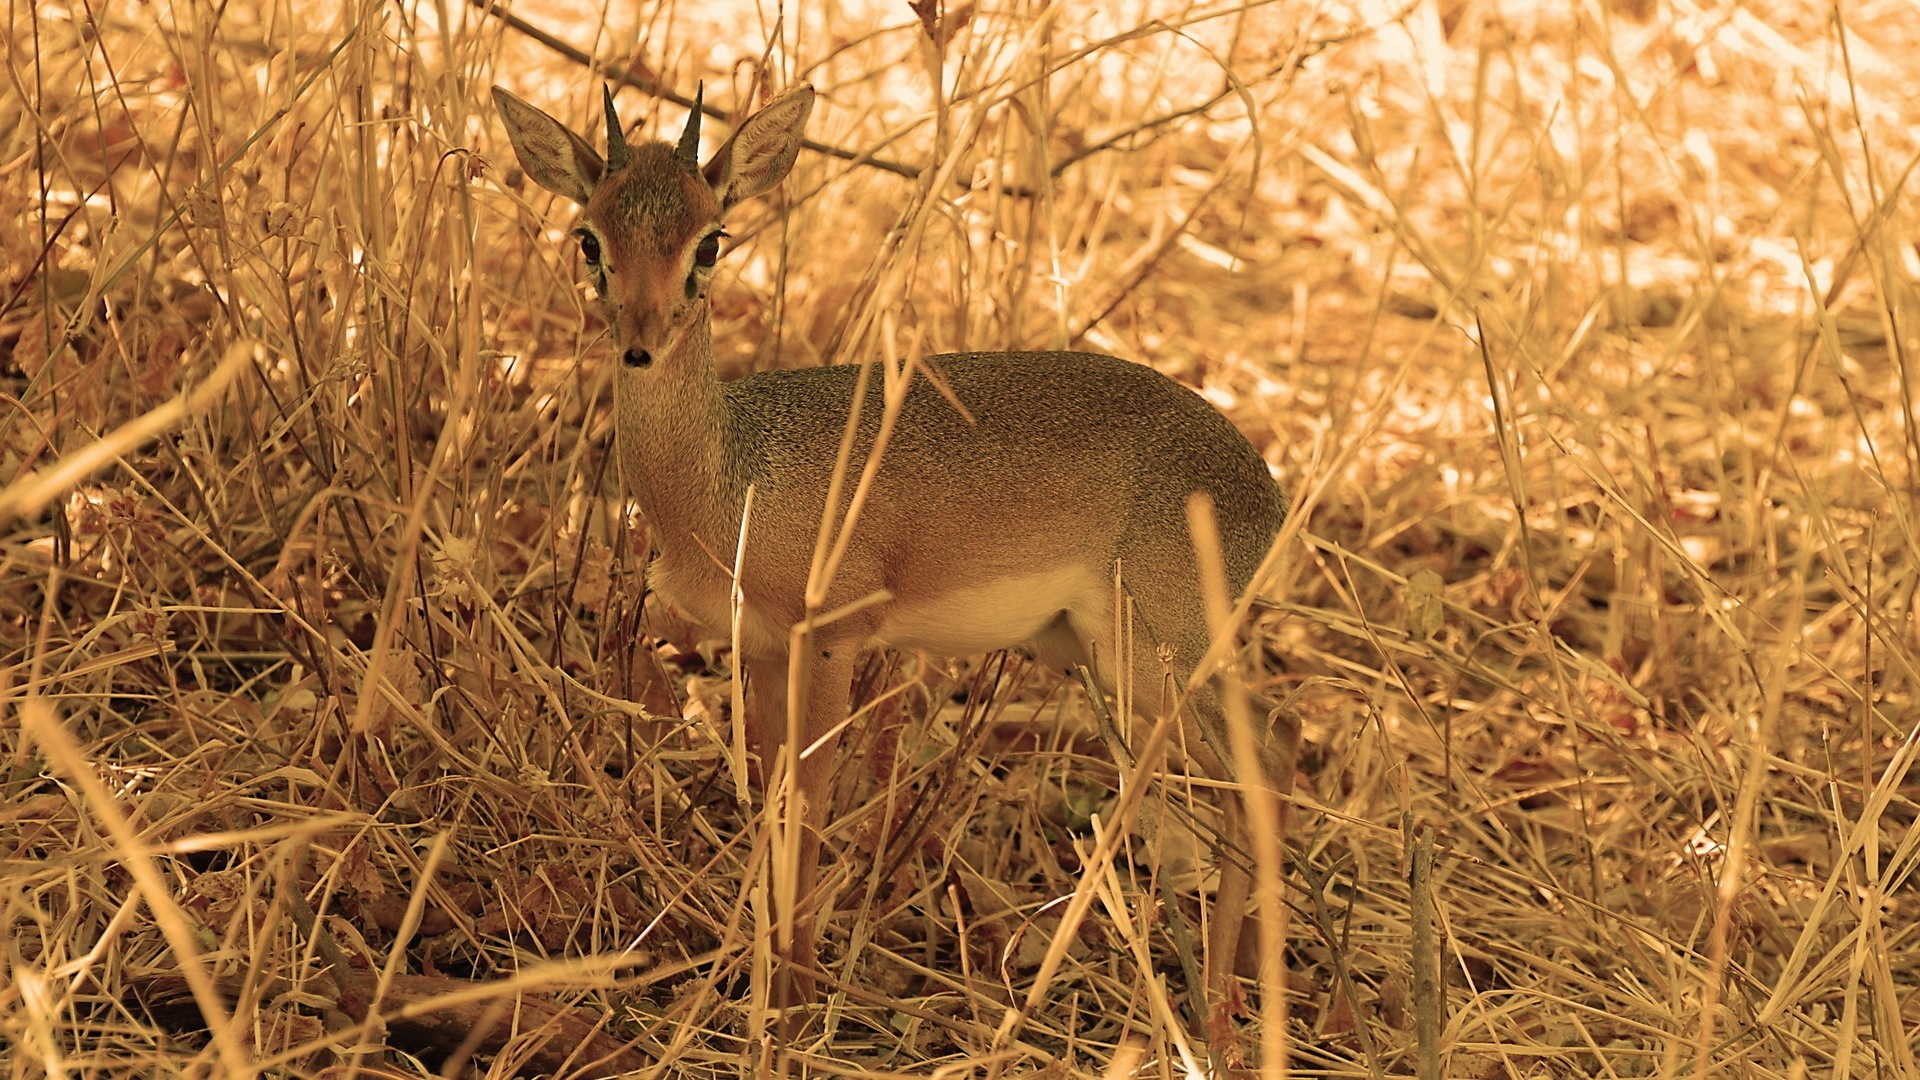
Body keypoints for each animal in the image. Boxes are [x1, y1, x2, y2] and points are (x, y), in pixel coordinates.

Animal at [495, 84, 1297, 1014]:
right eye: (590, 236)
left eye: (711, 239)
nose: (639, 343)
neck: (732, 477)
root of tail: (1266, 488)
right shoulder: (761, 650)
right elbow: (772, 794)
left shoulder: (832, 638)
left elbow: (808, 803)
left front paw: (796, 995)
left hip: (1153, 655)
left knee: (1267, 766)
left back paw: (1224, 1013)